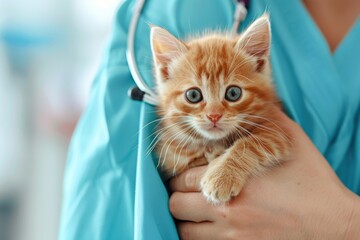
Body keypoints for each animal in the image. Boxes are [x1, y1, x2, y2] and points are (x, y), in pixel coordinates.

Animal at [150, 14, 292, 202]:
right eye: (193, 95)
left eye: (233, 93)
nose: (214, 116)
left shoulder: (278, 130)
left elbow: (249, 144)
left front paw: (221, 176)